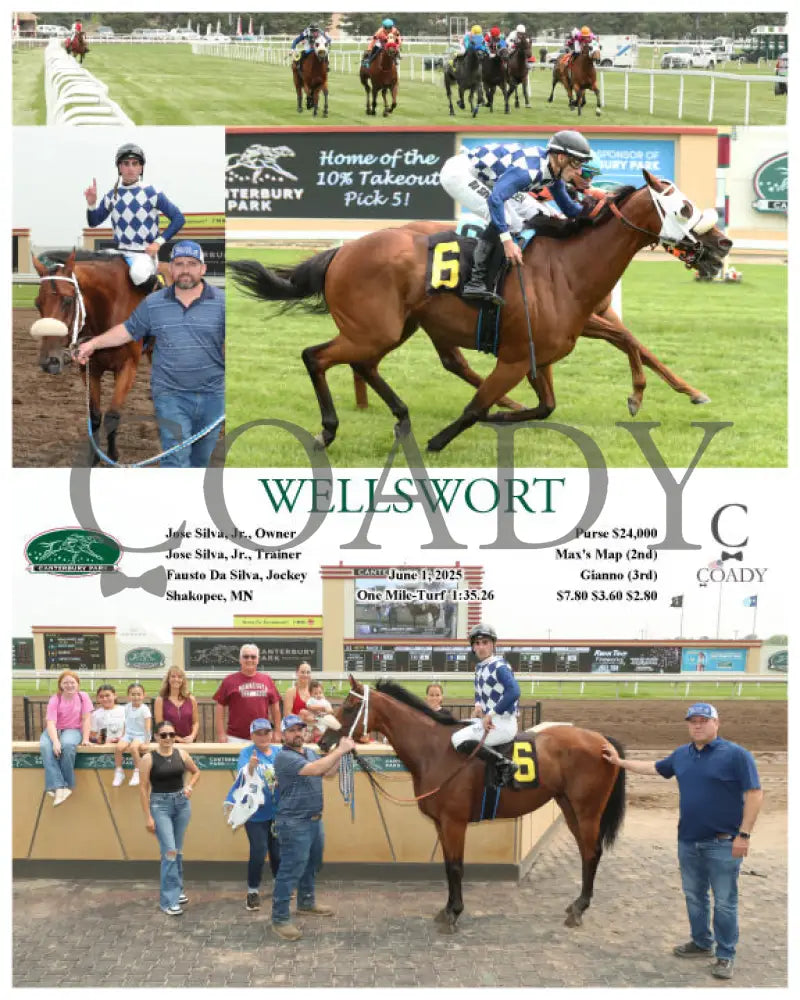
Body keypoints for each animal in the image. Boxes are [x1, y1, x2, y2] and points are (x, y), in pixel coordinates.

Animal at [30, 251, 154, 466]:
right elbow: (95, 416)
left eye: (67, 300)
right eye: (38, 303)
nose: (49, 361)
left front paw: (112, 457)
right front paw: (94, 457)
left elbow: (112, 415)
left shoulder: (128, 366)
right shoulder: (89, 368)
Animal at [228, 172, 730, 454]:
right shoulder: (515, 357)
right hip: (375, 329)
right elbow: (476, 408)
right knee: (316, 356)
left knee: (366, 364)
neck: (569, 267)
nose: (722, 244)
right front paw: (442, 439)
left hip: (393, 328)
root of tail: (343, 250)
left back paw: (402, 418)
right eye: (683, 207)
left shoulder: (541, 353)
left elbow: (548, 403)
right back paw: (329, 431)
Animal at [319, 677, 627, 932]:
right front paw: (447, 909)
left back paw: (579, 908)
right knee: (586, 851)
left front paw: (454, 913)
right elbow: (447, 865)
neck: (435, 750)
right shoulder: (441, 823)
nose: (323, 741)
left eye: (350, 706)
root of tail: (603, 741)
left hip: (587, 810)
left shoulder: (454, 822)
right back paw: (576, 905)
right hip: (569, 806)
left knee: (592, 852)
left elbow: (456, 866)